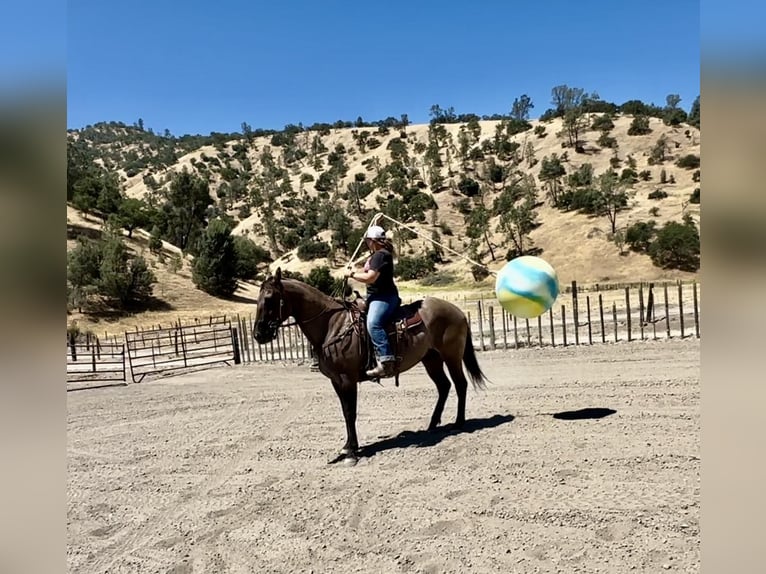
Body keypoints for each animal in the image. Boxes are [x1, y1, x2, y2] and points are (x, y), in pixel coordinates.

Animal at [253, 267, 489, 465]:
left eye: (270, 298)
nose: (258, 334)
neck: (332, 325)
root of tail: (458, 311)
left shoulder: (347, 378)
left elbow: (351, 412)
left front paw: (351, 452)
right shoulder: (336, 381)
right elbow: (345, 411)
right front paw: (348, 446)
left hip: (451, 356)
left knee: (460, 384)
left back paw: (459, 422)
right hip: (431, 359)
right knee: (444, 386)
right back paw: (433, 424)